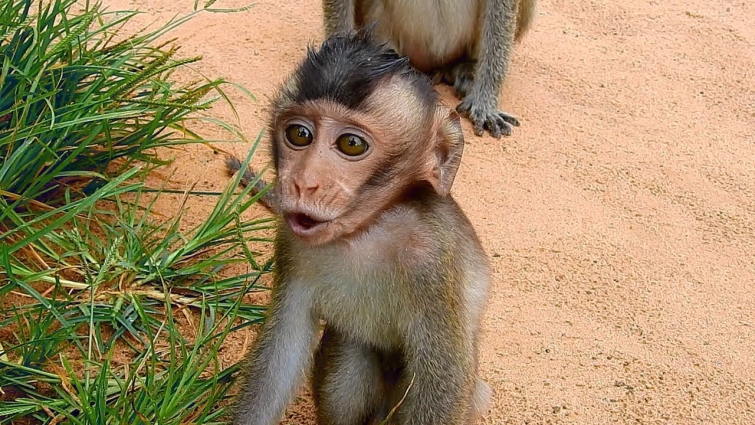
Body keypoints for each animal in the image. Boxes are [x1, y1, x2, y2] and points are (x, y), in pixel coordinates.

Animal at [228, 30, 493, 425]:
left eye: (351, 144)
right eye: (299, 134)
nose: (303, 183)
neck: (365, 231)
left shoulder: (432, 259)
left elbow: (443, 379)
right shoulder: (292, 244)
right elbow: (282, 352)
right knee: (351, 357)